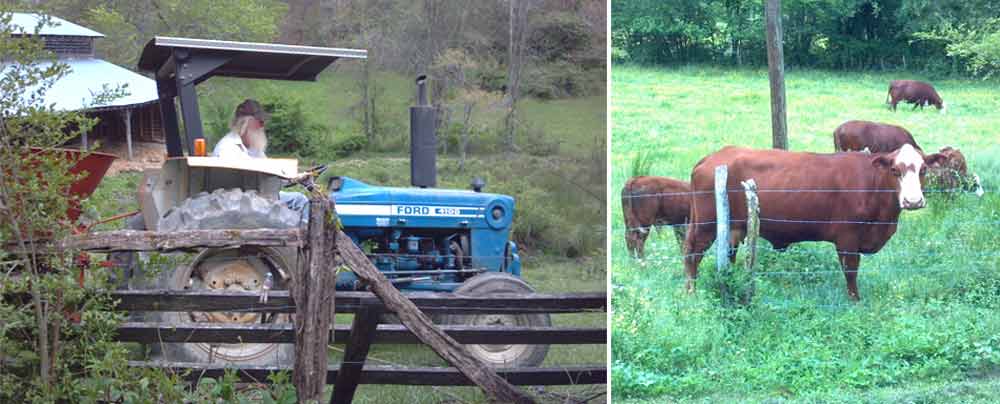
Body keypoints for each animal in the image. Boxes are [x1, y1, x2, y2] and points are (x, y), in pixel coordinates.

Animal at [684, 145, 948, 300]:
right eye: (895, 170)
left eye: (923, 170)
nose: (913, 201)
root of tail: (712, 157)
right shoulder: (848, 237)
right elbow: (851, 271)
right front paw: (855, 300)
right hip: (705, 224)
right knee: (692, 253)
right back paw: (690, 292)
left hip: (733, 226)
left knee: (727, 254)